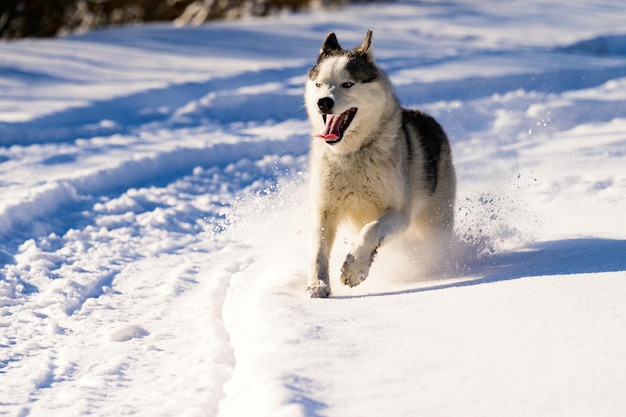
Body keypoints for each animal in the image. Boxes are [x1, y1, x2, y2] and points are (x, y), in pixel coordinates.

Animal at [302, 30, 454, 296]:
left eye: (347, 84)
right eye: (319, 84)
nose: (323, 102)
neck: (353, 154)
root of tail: (428, 118)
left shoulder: (399, 213)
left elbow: (370, 231)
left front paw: (354, 268)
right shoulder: (324, 210)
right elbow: (318, 252)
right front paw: (317, 285)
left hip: (434, 223)